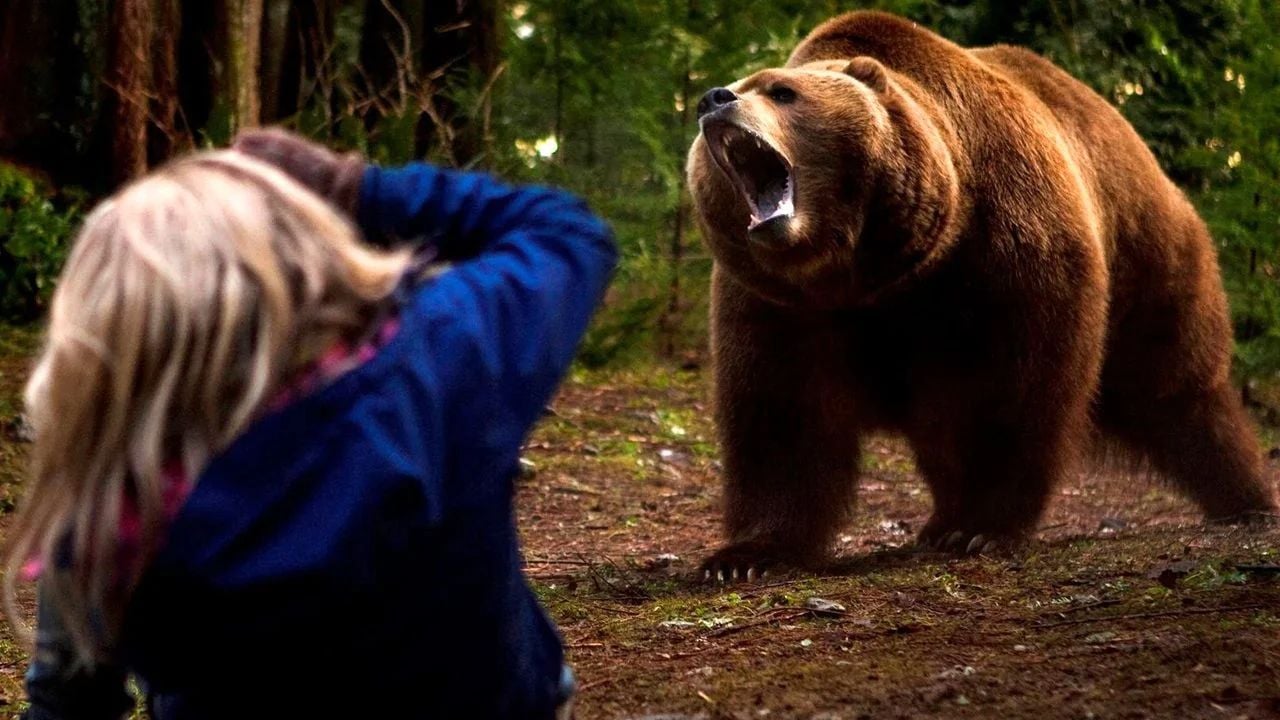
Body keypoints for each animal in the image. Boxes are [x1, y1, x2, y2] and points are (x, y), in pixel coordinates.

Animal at [686, 11, 1278, 580]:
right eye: (741, 83)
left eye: (782, 91)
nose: (714, 99)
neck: (867, 271)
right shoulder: (779, 305)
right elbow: (782, 418)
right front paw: (744, 555)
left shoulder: (1003, 253)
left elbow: (1011, 392)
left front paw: (980, 528)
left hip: (1148, 256)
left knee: (1178, 388)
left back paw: (1246, 500)